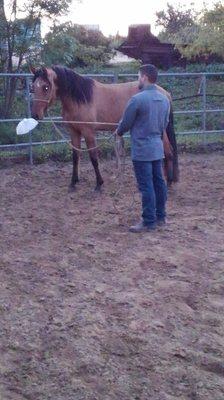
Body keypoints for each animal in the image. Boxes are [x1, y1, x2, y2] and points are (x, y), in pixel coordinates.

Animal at [31, 65, 178, 191]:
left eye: (45, 87)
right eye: (32, 87)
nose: (35, 115)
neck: (80, 98)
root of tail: (165, 93)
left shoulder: (89, 133)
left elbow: (93, 158)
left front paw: (99, 184)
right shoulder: (74, 132)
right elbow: (75, 157)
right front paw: (73, 183)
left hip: (161, 132)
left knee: (169, 152)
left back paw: (169, 183)